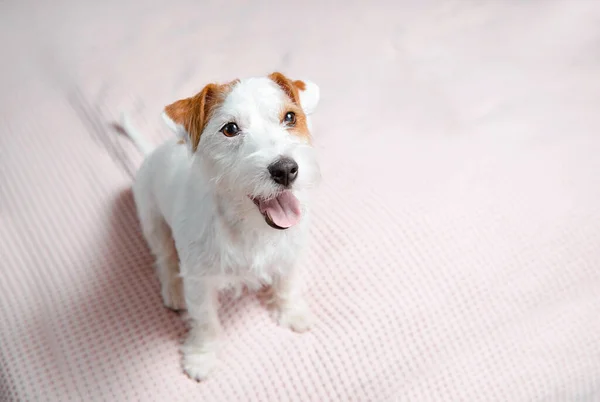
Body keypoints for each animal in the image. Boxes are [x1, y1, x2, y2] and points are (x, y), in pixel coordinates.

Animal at [119, 71, 322, 380]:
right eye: (230, 129)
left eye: (290, 117)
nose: (286, 169)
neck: (247, 225)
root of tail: (154, 152)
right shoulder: (199, 281)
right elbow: (205, 320)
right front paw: (202, 357)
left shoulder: (289, 254)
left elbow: (286, 284)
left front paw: (291, 312)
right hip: (152, 222)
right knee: (164, 258)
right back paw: (173, 291)